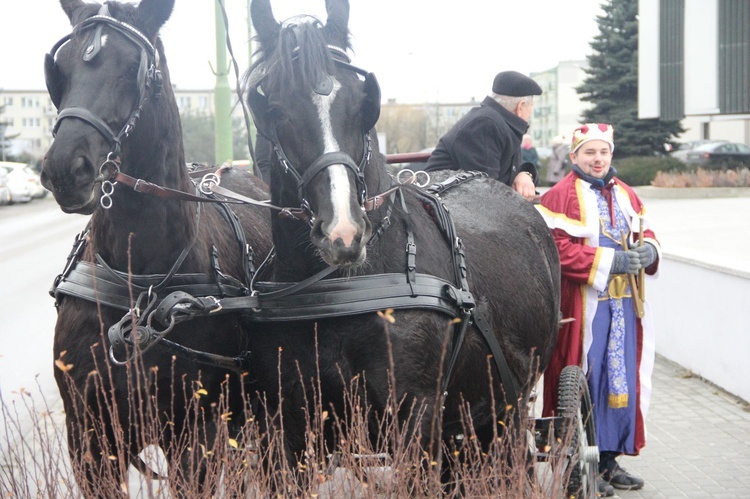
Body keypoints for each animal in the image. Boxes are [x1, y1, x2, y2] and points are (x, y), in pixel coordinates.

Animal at [40, 0, 274, 494]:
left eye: (133, 68)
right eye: (61, 67)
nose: (66, 167)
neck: (138, 283)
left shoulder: (197, 437)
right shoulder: (89, 440)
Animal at [244, 0, 560, 476]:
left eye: (362, 103)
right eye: (276, 109)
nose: (343, 232)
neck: (342, 291)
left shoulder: (417, 414)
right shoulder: (289, 425)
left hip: (509, 404)